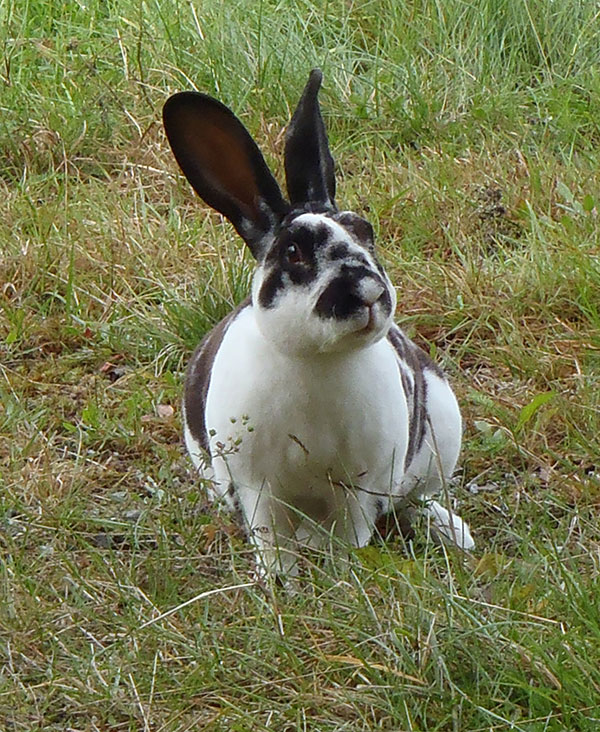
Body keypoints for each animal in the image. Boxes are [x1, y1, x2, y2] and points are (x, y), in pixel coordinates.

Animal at [162, 69, 474, 577]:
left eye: (366, 231)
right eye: (293, 252)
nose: (368, 292)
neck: (318, 360)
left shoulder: (360, 489)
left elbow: (351, 536)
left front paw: (343, 577)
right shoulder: (257, 489)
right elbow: (271, 542)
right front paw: (278, 584)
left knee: (418, 500)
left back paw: (455, 534)